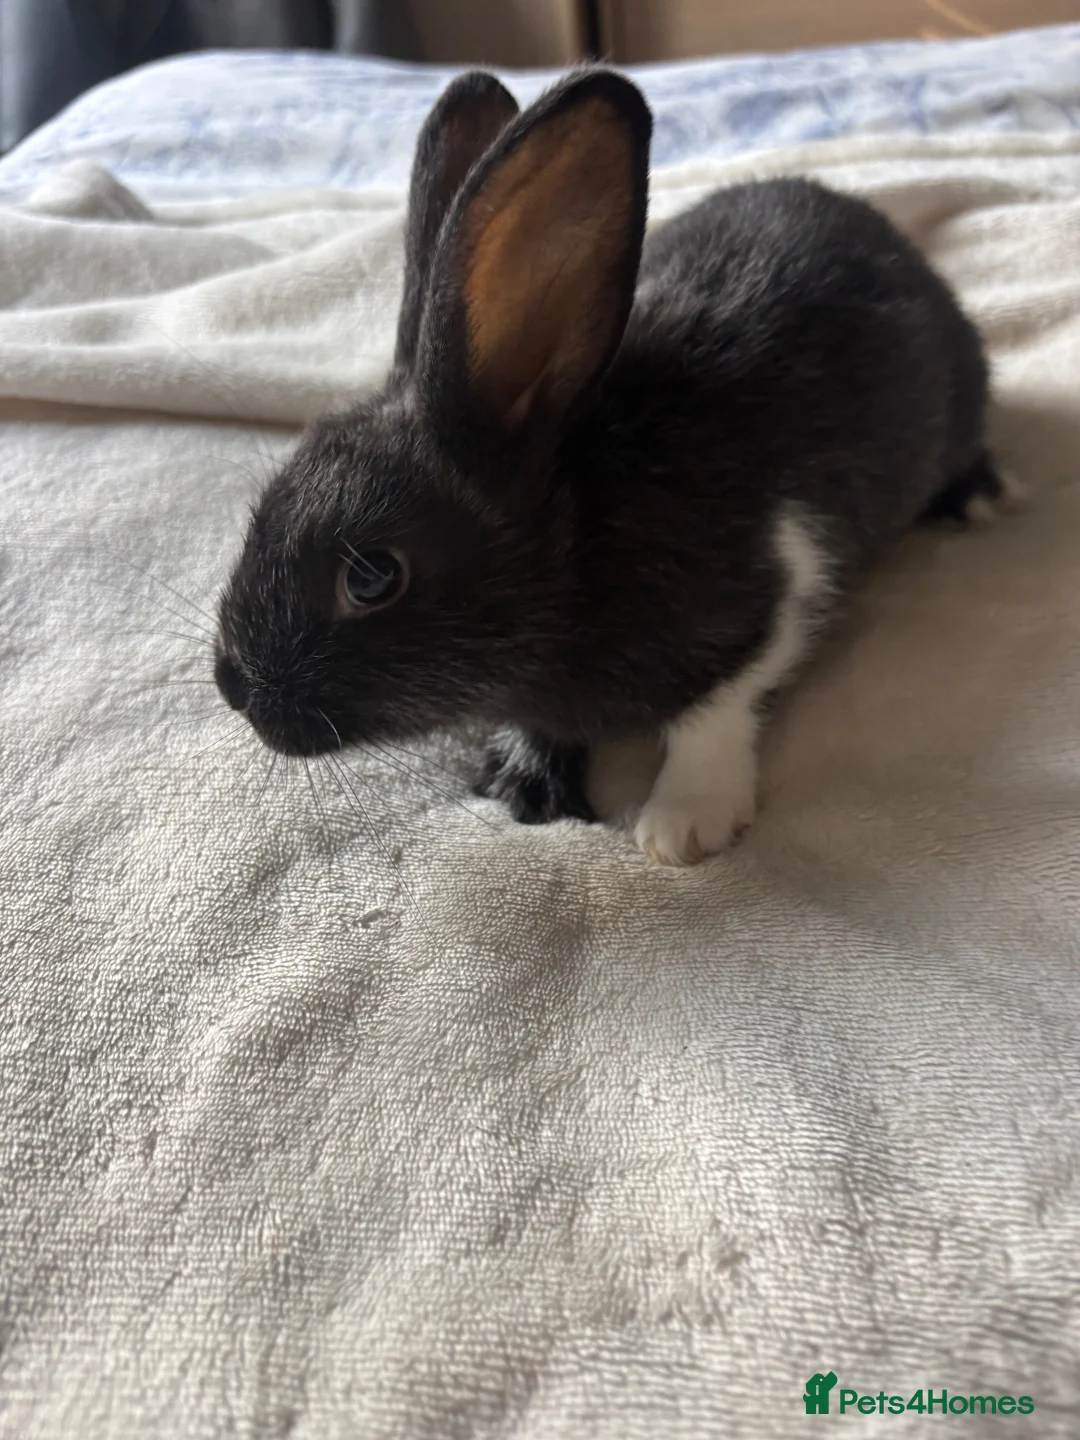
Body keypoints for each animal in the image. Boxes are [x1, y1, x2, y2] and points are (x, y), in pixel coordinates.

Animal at [214, 66, 1002, 866]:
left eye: (373, 577)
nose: (235, 690)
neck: (578, 540)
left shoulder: (773, 592)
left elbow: (714, 713)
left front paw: (684, 824)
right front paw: (525, 780)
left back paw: (974, 499)